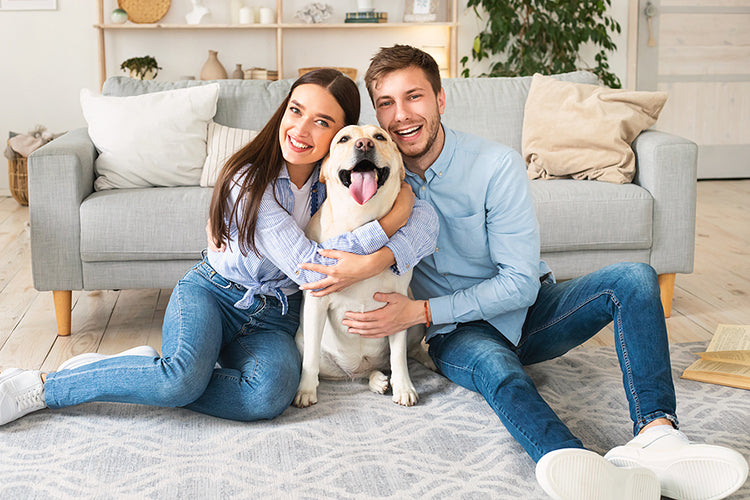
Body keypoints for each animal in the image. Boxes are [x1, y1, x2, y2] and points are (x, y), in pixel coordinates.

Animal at [296, 123, 428, 408]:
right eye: (344, 139)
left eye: (379, 137)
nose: (364, 145)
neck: (361, 221)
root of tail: (360, 366)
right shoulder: (316, 302)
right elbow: (310, 359)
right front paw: (305, 390)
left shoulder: (397, 304)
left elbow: (398, 355)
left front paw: (404, 387)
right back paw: (374, 379)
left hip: (414, 323)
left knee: (403, 354)